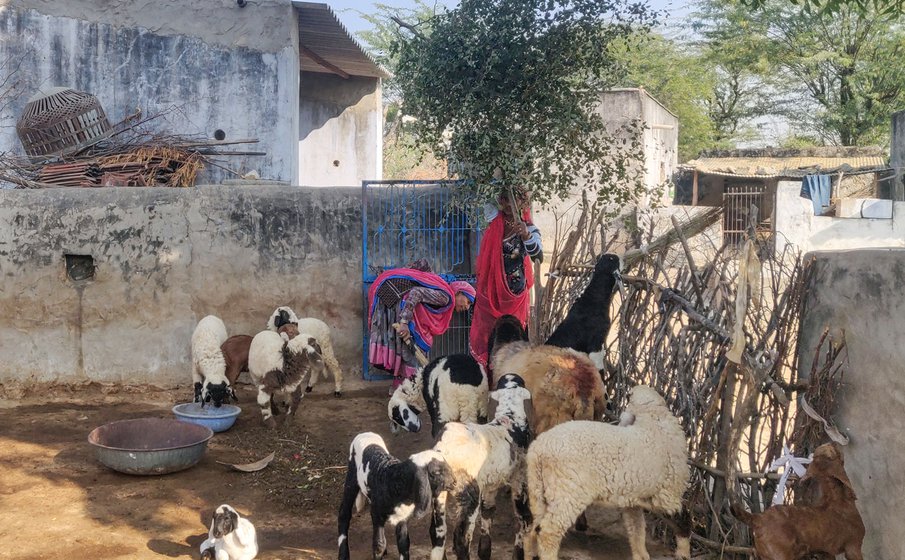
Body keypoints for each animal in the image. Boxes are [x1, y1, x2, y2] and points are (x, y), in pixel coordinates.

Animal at [520, 384, 688, 560]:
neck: (653, 417)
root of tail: (538, 449)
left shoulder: (633, 499)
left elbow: (637, 528)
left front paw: (641, 555)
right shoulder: (668, 494)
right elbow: (683, 520)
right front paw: (683, 553)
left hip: (538, 489)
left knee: (531, 529)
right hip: (568, 491)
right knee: (549, 532)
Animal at [732, 442, 864, 560]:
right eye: (833, 451)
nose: (833, 442)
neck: (833, 498)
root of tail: (758, 519)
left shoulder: (826, 552)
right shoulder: (853, 547)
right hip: (781, 555)